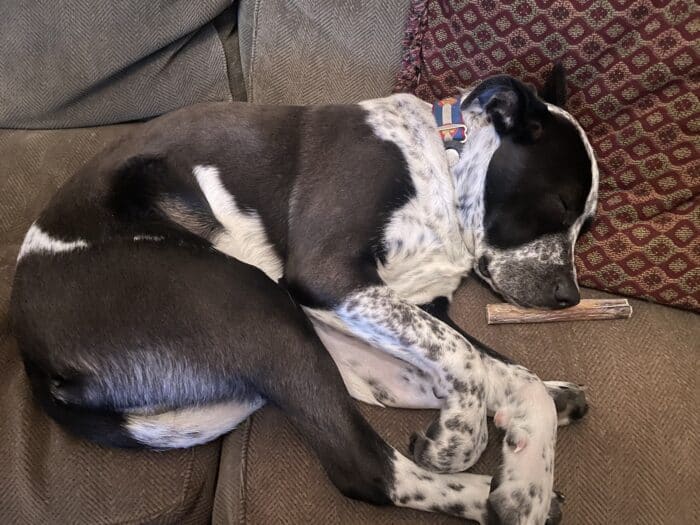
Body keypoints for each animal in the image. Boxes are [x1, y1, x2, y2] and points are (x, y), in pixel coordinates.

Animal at [10, 66, 596, 524]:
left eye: (586, 226)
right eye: (560, 205)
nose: (570, 298)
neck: (442, 160)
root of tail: (34, 359)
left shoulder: (397, 304)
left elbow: (493, 366)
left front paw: (526, 479)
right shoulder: (328, 275)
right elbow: (467, 360)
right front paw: (462, 444)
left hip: (307, 323)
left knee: (405, 386)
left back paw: (543, 416)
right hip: (259, 304)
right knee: (365, 468)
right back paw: (478, 490)